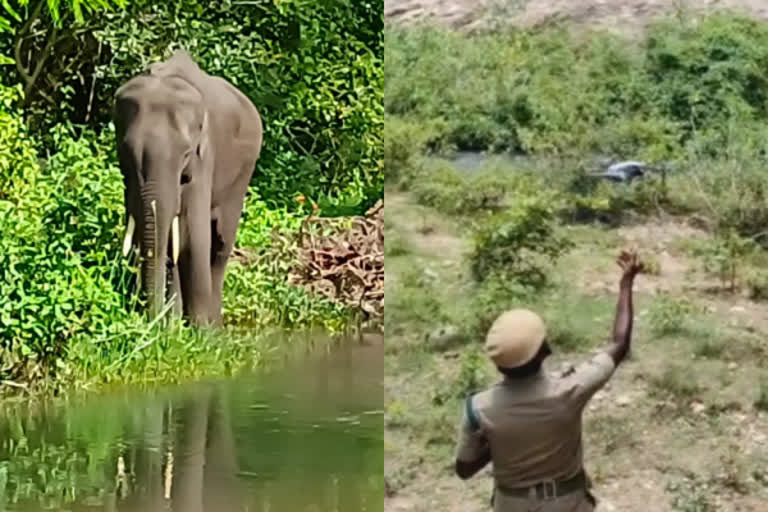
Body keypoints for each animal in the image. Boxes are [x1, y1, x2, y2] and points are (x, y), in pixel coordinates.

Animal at [114, 50, 262, 326]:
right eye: (126, 151)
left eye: (185, 154)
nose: (152, 322)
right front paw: (171, 327)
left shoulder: (204, 156)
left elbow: (194, 237)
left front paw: (201, 331)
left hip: (244, 172)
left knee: (220, 245)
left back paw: (214, 326)